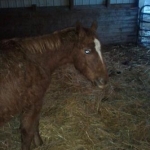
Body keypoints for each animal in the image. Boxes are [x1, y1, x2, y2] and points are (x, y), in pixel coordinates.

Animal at [0, 21, 108, 149]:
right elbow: (28, 132)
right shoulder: (34, 102)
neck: (35, 61)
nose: (103, 81)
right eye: (87, 51)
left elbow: (35, 125)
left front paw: (39, 143)